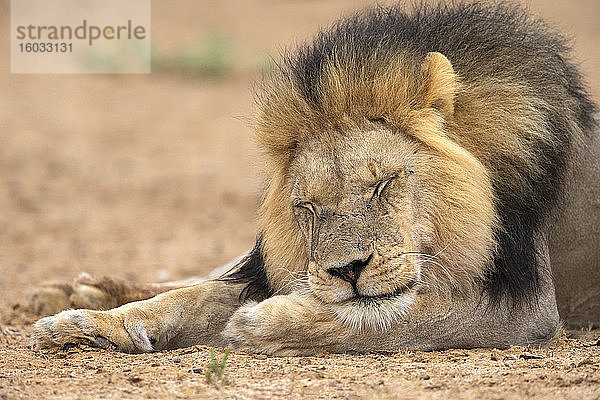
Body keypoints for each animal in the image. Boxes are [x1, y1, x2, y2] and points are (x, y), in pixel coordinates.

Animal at [29, 2, 600, 354]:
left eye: (383, 185)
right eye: (307, 208)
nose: (347, 269)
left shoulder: (527, 309)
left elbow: (397, 318)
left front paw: (264, 323)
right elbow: (189, 298)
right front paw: (93, 326)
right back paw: (78, 295)